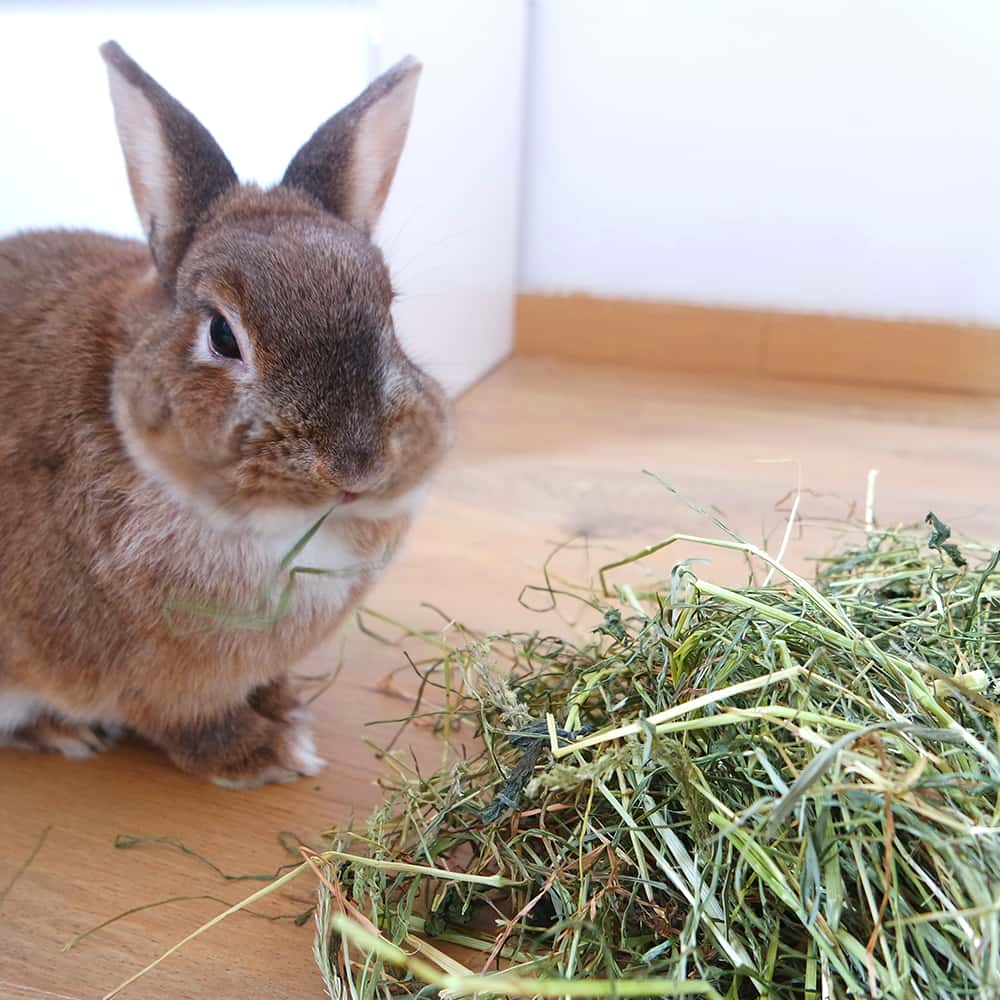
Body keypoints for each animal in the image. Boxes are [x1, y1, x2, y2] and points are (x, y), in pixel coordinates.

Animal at [0, 42, 450, 787]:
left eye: (388, 313)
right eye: (221, 335)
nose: (355, 469)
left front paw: (285, 706)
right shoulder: (160, 682)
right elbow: (186, 724)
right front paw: (270, 754)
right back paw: (64, 731)